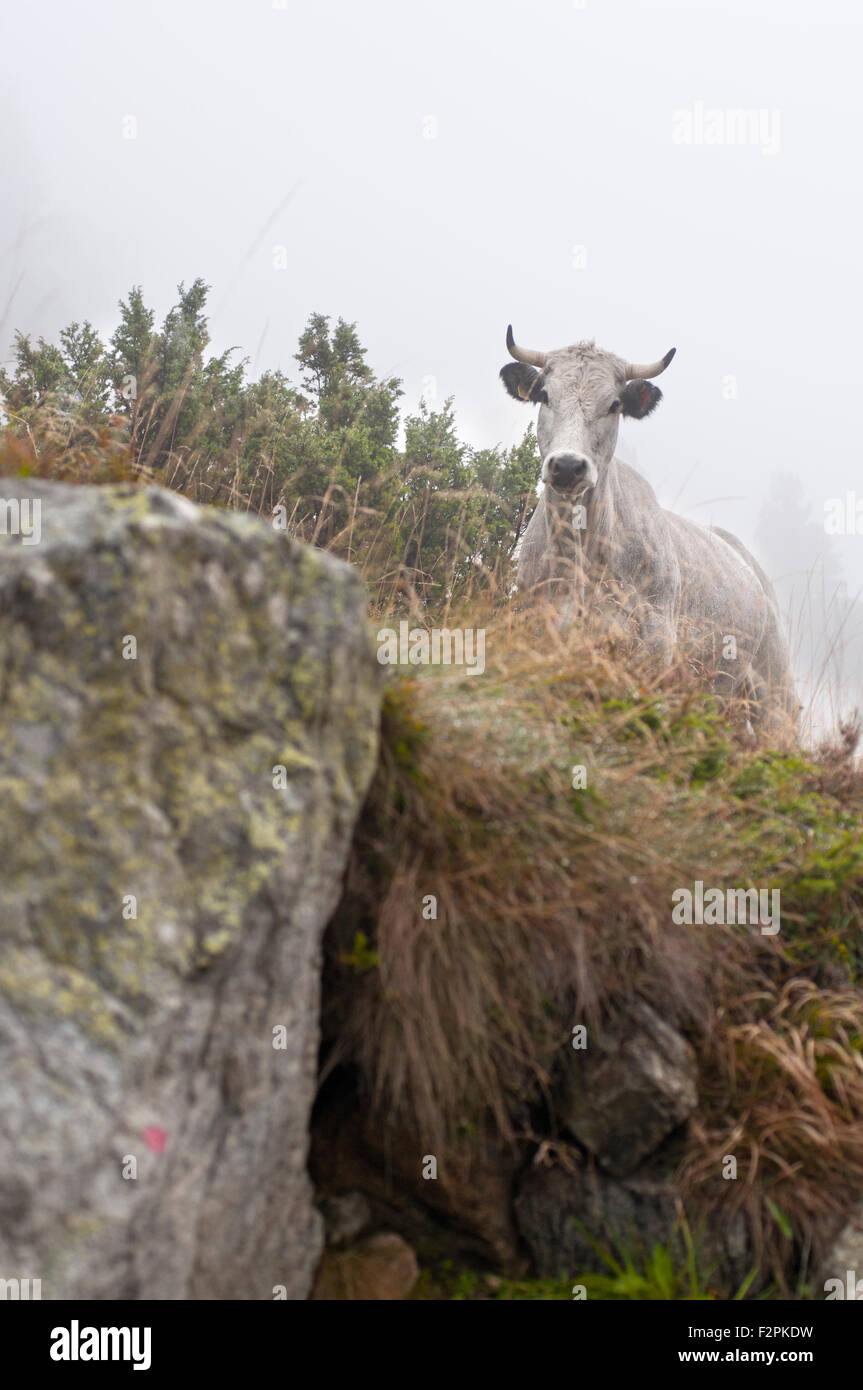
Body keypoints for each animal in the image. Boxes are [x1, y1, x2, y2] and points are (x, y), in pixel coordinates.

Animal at [501, 326, 798, 733]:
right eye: (545, 395)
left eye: (614, 404)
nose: (568, 466)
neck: (579, 553)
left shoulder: (656, 643)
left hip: (774, 691)